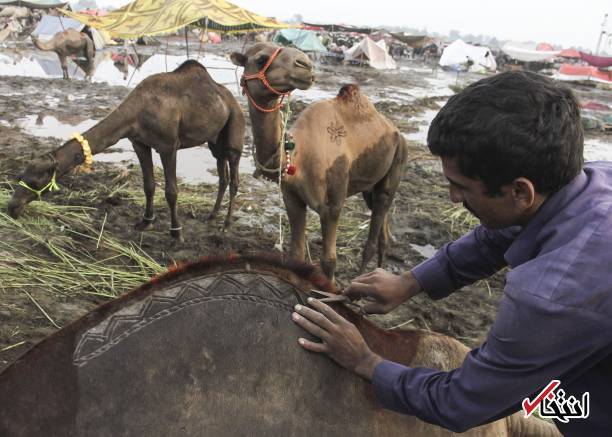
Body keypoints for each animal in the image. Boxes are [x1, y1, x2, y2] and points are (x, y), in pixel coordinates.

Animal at [7, 59, 245, 238]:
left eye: (36, 182)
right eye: (20, 175)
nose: (11, 207)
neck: (138, 111)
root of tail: (230, 98)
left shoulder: (168, 146)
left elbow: (171, 191)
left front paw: (176, 232)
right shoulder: (139, 143)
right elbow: (149, 185)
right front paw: (146, 222)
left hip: (234, 126)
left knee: (234, 176)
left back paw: (225, 224)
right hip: (214, 140)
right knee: (222, 174)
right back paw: (212, 216)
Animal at [232, 42, 408, 280]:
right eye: (260, 60)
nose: (305, 64)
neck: (298, 157)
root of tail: (396, 131)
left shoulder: (332, 205)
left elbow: (329, 261)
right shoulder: (292, 198)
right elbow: (296, 254)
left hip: (398, 160)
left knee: (376, 227)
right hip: (370, 184)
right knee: (384, 232)